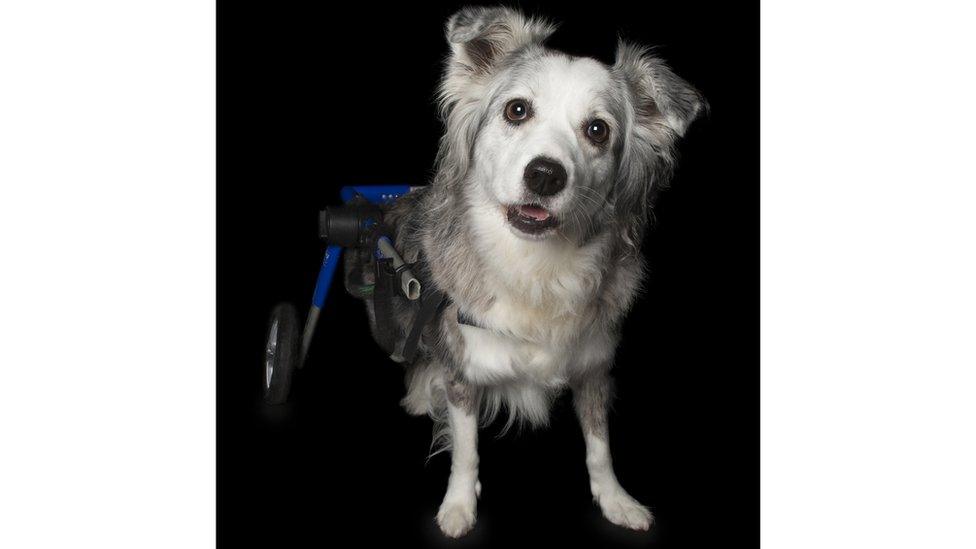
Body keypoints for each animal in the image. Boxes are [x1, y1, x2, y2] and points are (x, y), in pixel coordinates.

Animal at [346, 4, 704, 536]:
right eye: (516, 110)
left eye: (598, 130)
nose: (545, 175)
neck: (537, 270)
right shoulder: (463, 370)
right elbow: (466, 450)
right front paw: (458, 508)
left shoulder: (594, 368)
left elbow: (600, 447)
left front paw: (616, 500)